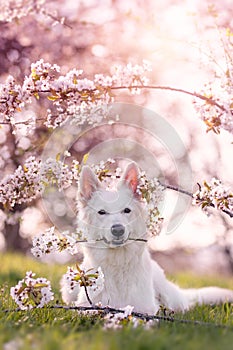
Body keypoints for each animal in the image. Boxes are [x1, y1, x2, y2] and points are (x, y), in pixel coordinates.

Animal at [60, 163, 233, 314]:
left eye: (127, 210)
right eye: (101, 212)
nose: (118, 230)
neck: (118, 262)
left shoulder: (145, 309)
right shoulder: (86, 306)